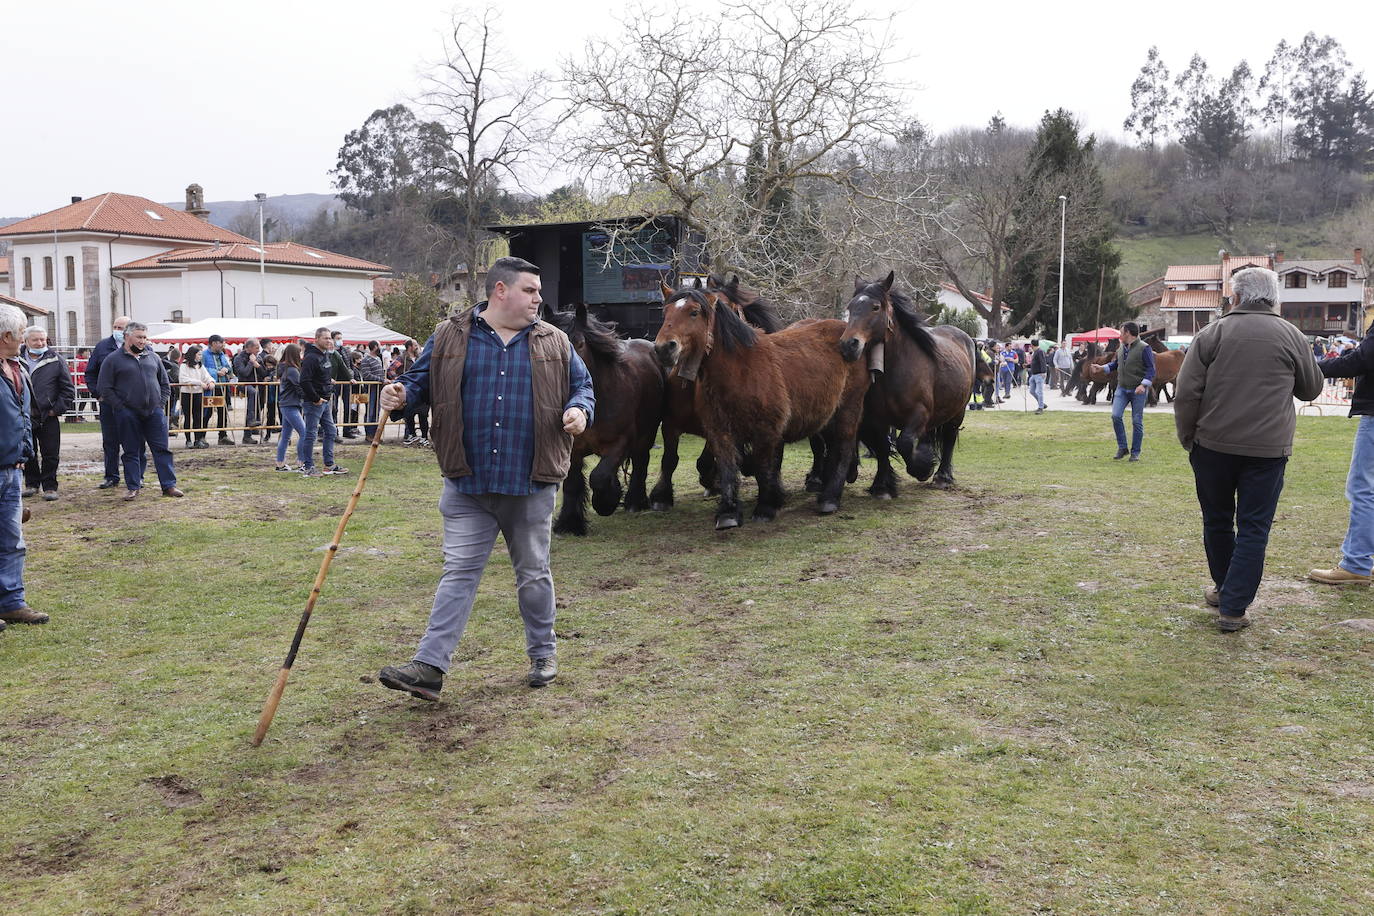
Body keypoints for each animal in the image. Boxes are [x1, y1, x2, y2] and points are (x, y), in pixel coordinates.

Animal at [835, 271, 978, 494]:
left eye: (875, 307)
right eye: (850, 307)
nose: (848, 345)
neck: (896, 370)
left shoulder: (919, 414)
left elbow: (904, 443)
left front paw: (923, 469)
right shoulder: (878, 419)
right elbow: (883, 447)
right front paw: (881, 486)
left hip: (958, 411)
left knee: (949, 437)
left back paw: (943, 476)